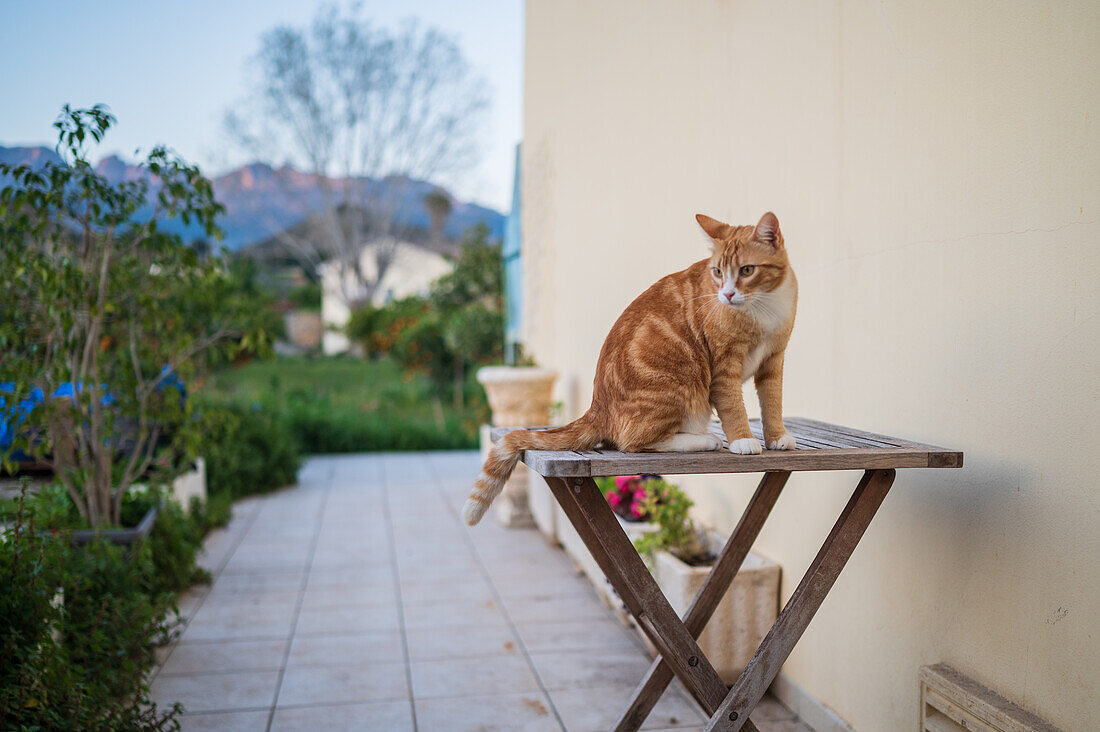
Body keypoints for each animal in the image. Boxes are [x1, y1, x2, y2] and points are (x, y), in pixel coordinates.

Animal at [459, 211, 796, 526]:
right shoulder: (724, 366)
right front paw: (743, 440)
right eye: (717, 272)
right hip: (680, 385)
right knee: (634, 443)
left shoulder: (774, 361)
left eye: (747, 270)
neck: (763, 308)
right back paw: (704, 440)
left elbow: (773, 403)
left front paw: (777, 437)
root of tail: (597, 407)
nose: (726, 294)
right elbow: (733, 406)